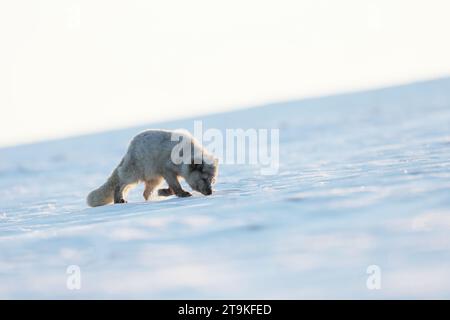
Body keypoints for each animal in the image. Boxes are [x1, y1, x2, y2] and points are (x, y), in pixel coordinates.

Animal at [87, 130, 219, 208]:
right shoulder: (167, 170)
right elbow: (176, 186)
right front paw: (182, 194)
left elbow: (172, 188)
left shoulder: (167, 173)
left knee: (145, 193)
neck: (183, 154)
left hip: (155, 179)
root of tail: (130, 148)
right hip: (134, 175)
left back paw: (152, 200)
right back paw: (119, 200)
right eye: (203, 179)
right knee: (119, 184)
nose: (210, 192)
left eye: (212, 180)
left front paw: (163, 192)